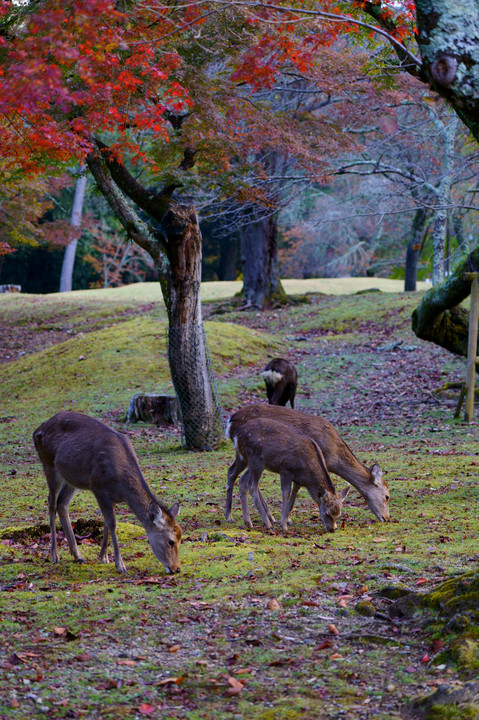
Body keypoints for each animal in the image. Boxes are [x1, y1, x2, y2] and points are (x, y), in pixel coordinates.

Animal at [32, 410, 182, 572]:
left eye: (181, 537)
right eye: (171, 541)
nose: (176, 569)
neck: (123, 487)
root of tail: (36, 431)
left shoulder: (112, 497)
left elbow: (106, 523)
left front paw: (103, 557)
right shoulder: (99, 488)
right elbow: (112, 523)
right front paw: (120, 565)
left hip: (71, 478)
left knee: (62, 504)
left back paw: (78, 555)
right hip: (49, 464)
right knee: (51, 503)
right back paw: (54, 556)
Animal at [225, 404, 390, 524]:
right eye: (387, 496)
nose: (387, 518)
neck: (333, 455)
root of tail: (230, 422)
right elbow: (297, 488)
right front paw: (288, 519)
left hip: (244, 457)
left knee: (233, 472)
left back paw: (238, 516)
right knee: (244, 478)